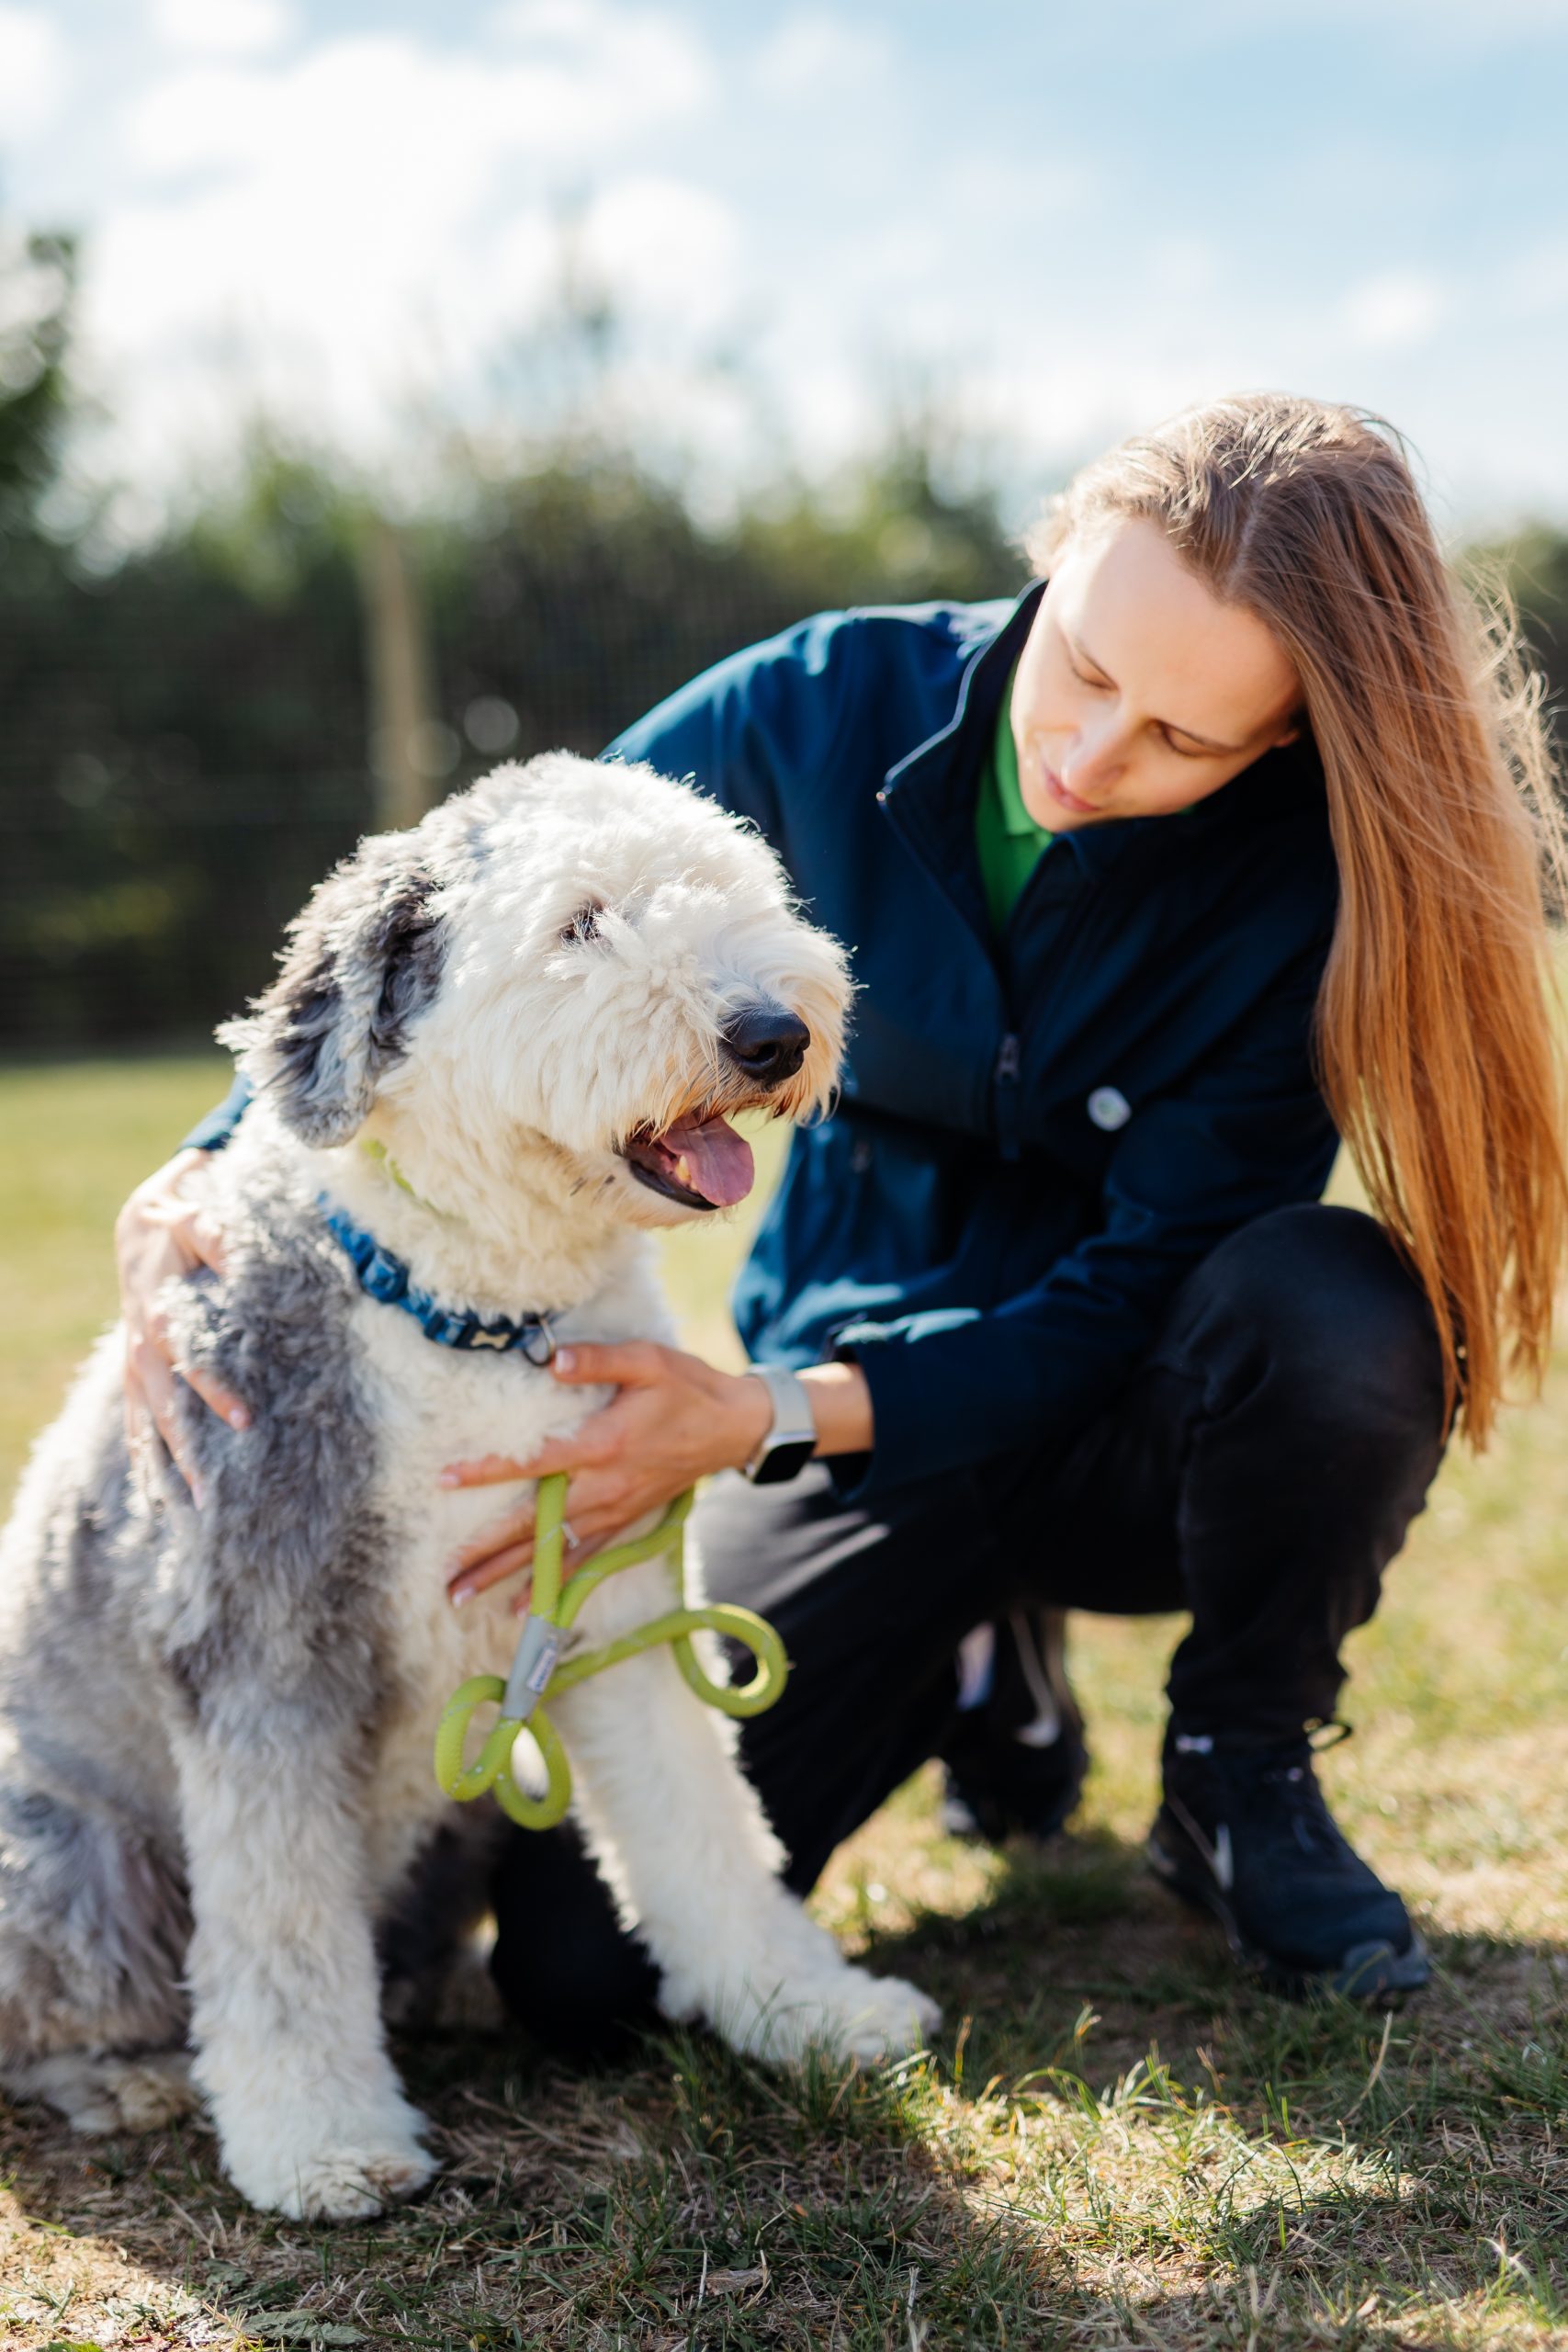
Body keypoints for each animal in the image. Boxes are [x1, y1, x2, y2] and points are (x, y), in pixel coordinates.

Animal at [0, 757, 931, 2220]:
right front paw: (321, 2142)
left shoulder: (615, 1602)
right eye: (581, 923)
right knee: (63, 2008)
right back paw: (132, 2081)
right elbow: (278, 1927)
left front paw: (809, 2011)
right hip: (64, 1854)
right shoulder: (264, 1645)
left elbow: (708, 1829)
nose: (775, 1033)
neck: (469, 1317)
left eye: (723, 886)